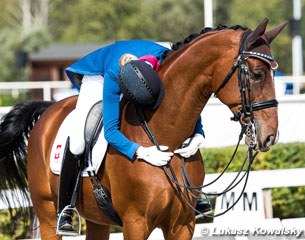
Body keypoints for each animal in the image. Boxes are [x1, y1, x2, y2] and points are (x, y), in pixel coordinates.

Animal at [0, 17, 284, 239]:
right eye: (257, 74)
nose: (270, 136)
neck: (166, 135)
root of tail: (48, 110)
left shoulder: (182, 225)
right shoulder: (136, 223)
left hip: (97, 218)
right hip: (47, 212)